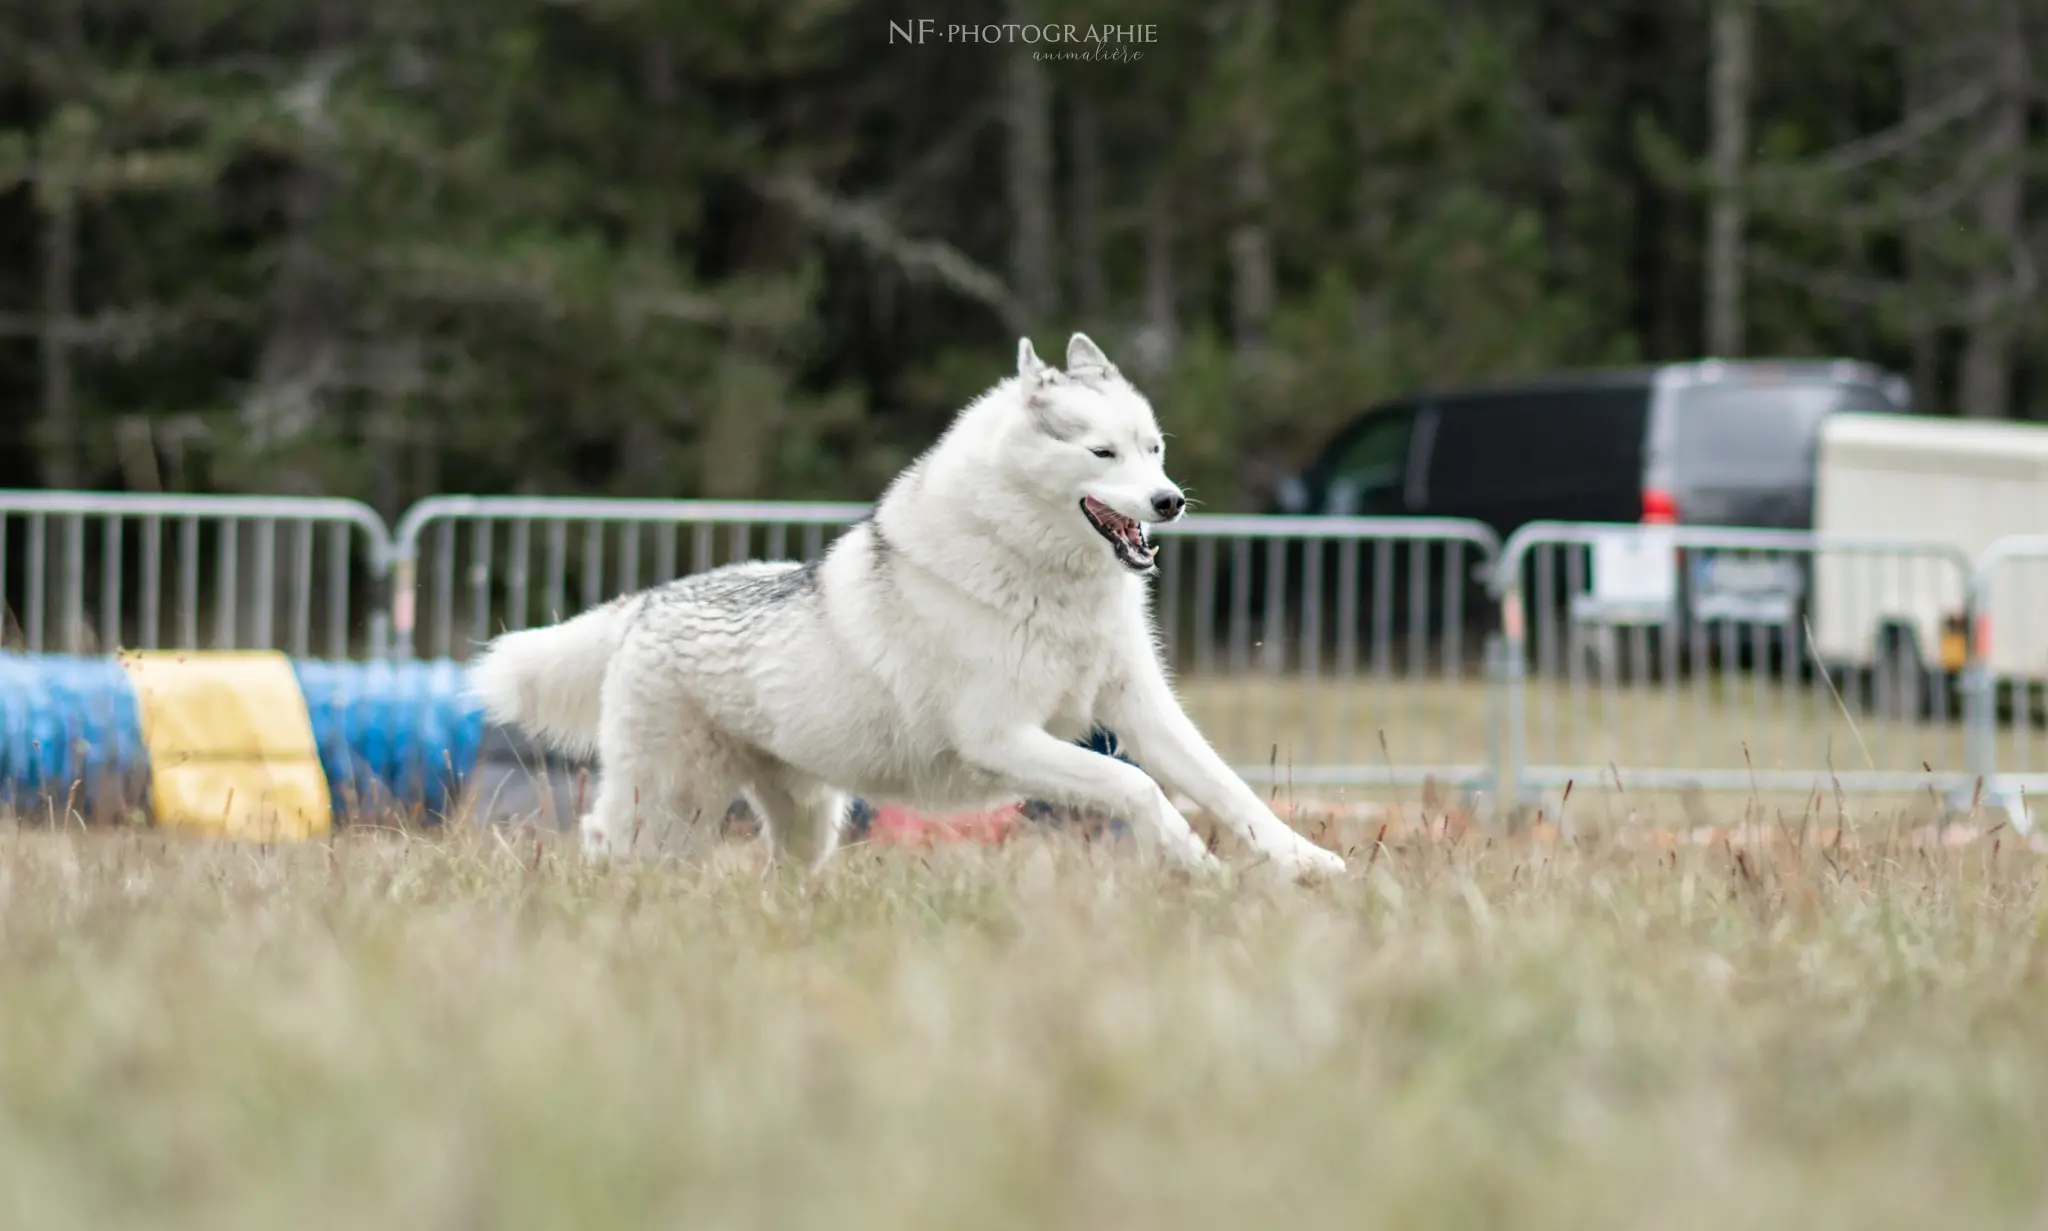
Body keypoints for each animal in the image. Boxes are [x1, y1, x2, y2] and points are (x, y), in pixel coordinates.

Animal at [471, 331, 1351, 876]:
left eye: (1154, 448)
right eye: (1103, 453)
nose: (1170, 501)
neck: (1041, 576)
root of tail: (646, 601)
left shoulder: (1140, 709)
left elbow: (1230, 789)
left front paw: (1305, 864)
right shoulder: (1007, 737)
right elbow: (1139, 790)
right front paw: (1197, 864)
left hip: (805, 819)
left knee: (777, 870)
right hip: (669, 810)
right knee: (605, 841)